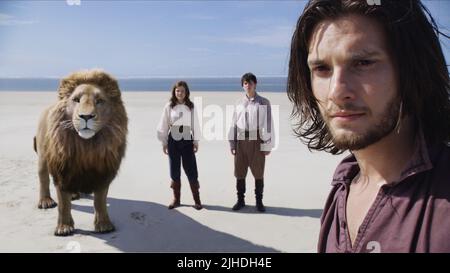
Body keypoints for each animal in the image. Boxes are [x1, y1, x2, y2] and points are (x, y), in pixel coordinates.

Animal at [33, 69, 127, 235]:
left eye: (100, 101)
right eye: (76, 100)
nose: (86, 116)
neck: (86, 148)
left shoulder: (103, 173)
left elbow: (100, 201)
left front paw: (104, 225)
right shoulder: (62, 172)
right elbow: (63, 204)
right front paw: (64, 228)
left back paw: (74, 195)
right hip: (43, 156)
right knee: (43, 178)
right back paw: (46, 201)